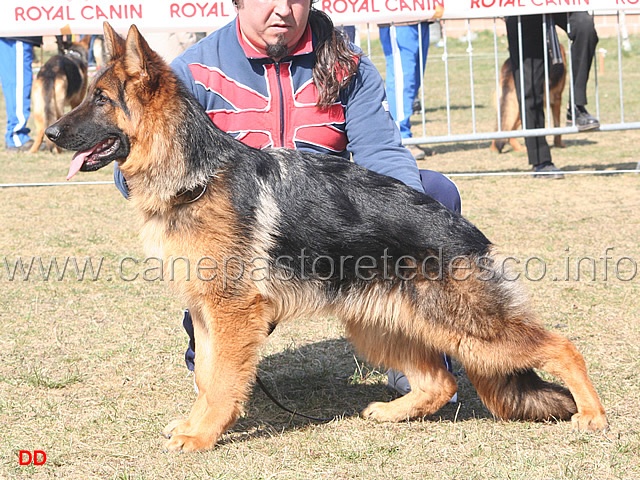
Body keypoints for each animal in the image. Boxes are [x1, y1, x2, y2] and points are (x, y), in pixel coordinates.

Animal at [45, 21, 604, 450]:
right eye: (87, 95)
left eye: (100, 100)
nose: (49, 134)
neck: (194, 174)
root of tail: (468, 234)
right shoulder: (205, 313)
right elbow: (205, 374)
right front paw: (196, 423)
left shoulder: (231, 314)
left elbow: (222, 380)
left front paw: (203, 436)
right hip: (381, 324)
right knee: (441, 380)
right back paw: (392, 412)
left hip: (469, 329)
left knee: (560, 345)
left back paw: (593, 414)